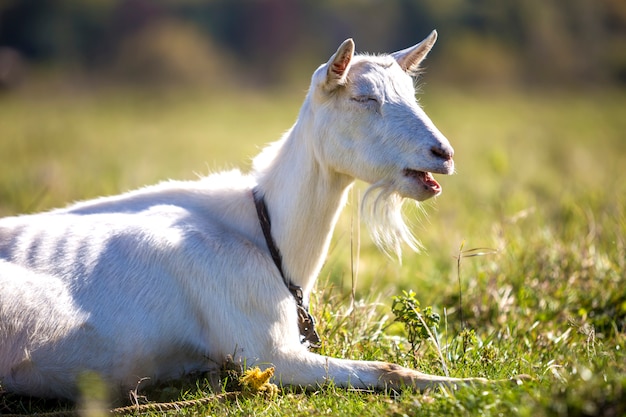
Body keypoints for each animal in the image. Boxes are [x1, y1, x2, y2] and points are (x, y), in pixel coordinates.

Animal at [0, 31, 486, 400]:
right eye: (364, 98)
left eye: (411, 94)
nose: (443, 154)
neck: (264, 232)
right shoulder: (267, 351)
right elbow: (391, 369)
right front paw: (480, 382)